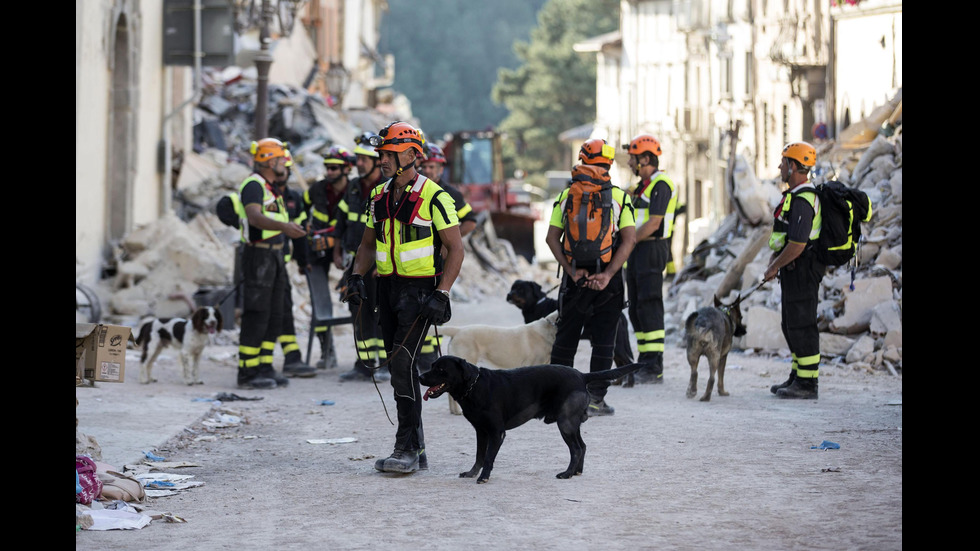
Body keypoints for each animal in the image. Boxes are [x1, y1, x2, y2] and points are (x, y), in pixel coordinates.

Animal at [420, 354, 644, 484]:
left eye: (441, 369)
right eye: (432, 365)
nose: (420, 377)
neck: (474, 387)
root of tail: (582, 375)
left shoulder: (496, 432)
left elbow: (489, 457)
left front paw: (483, 477)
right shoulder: (481, 431)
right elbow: (479, 456)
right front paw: (472, 473)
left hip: (565, 424)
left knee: (576, 449)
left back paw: (567, 473)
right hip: (572, 424)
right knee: (583, 446)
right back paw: (576, 472)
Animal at [506, 282, 636, 382]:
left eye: (521, 289)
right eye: (512, 287)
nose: (508, 295)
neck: (537, 304)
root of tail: (622, 316)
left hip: (617, 344)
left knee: (627, 361)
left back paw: (629, 383)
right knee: (619, 362)